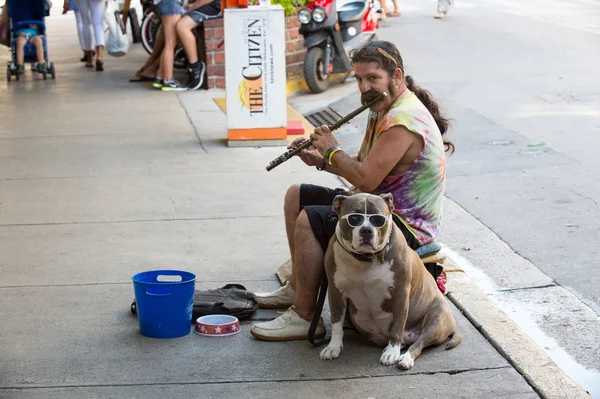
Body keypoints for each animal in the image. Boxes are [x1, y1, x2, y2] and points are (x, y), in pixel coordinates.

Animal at [322, 192, 462, 370]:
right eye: (354, 218)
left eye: (378, 219)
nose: (366, 230)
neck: (365, 259)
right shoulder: (335, 291)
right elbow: (336, 323)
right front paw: (333, 347)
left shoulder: (401, 292)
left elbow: (397, 325)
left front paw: (391, 352)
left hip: (436, 320)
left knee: (419, 344)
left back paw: (405, 358)